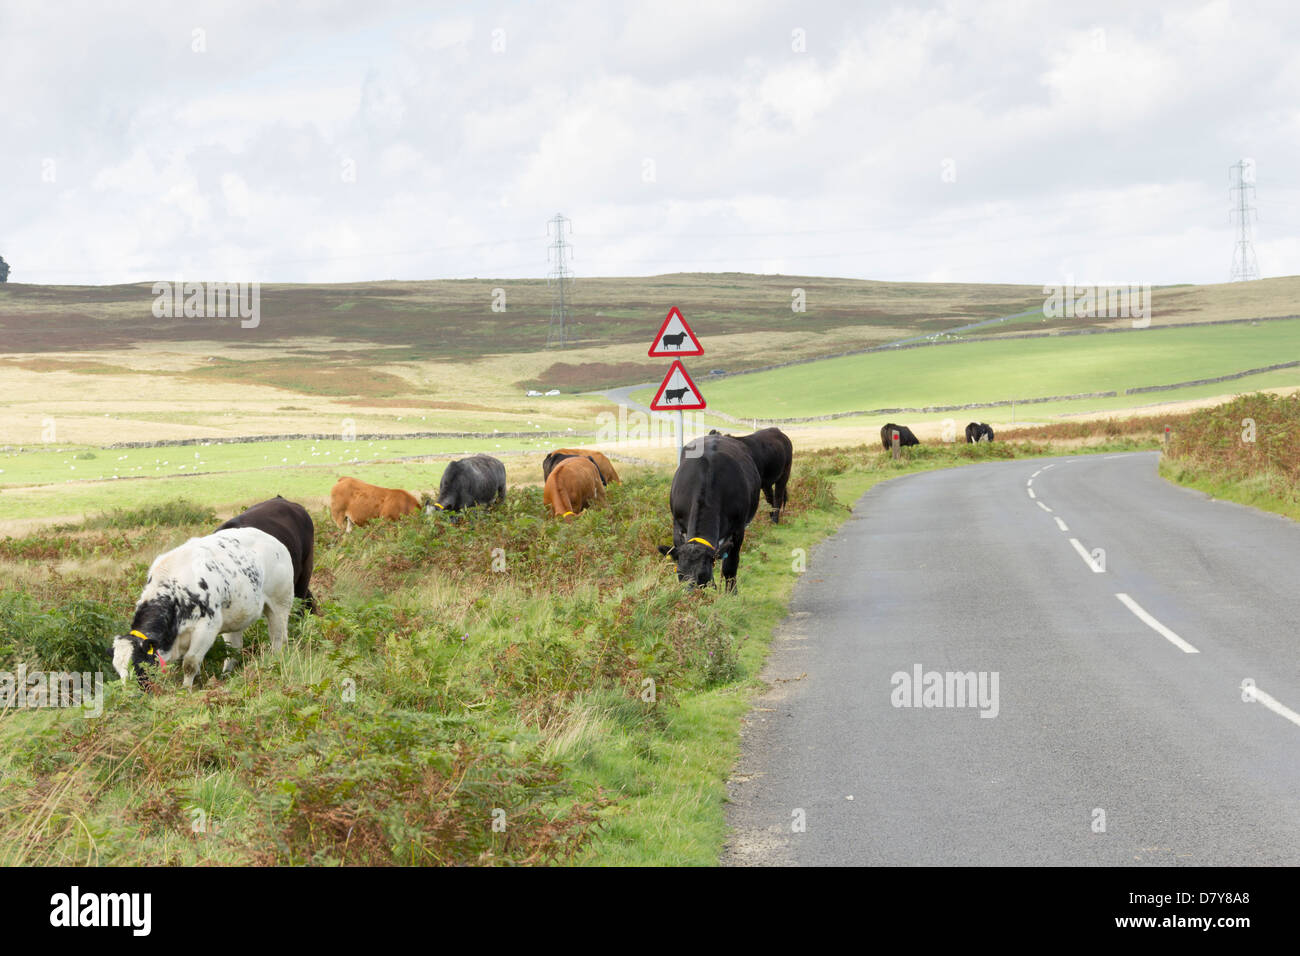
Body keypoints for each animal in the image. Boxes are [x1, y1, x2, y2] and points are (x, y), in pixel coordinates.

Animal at [109, 528, 295, 691]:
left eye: (137, 663)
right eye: (117, 669)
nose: (129, 693)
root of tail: (273, 540)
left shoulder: (206, 628)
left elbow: (190, 664)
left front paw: (186, 690)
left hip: (280, 603)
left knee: (279, 638)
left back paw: (274, 662)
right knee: (234, 648)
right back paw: (226, 674)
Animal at [655, 434, 759, 590]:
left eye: (702, 574)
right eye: (679, 572)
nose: (689, 593)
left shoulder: (739, 529)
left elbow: (730, 567)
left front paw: (731, 593)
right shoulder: (677, 524)